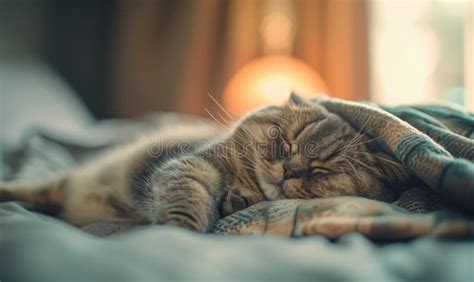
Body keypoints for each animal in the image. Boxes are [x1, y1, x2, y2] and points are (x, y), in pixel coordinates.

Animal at [0, 94, 412, 231]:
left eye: (323, 169)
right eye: (285, 141)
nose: (288, 170)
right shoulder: (192, 167)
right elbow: (190, 197)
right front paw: (181, 226)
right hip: (53, 184)